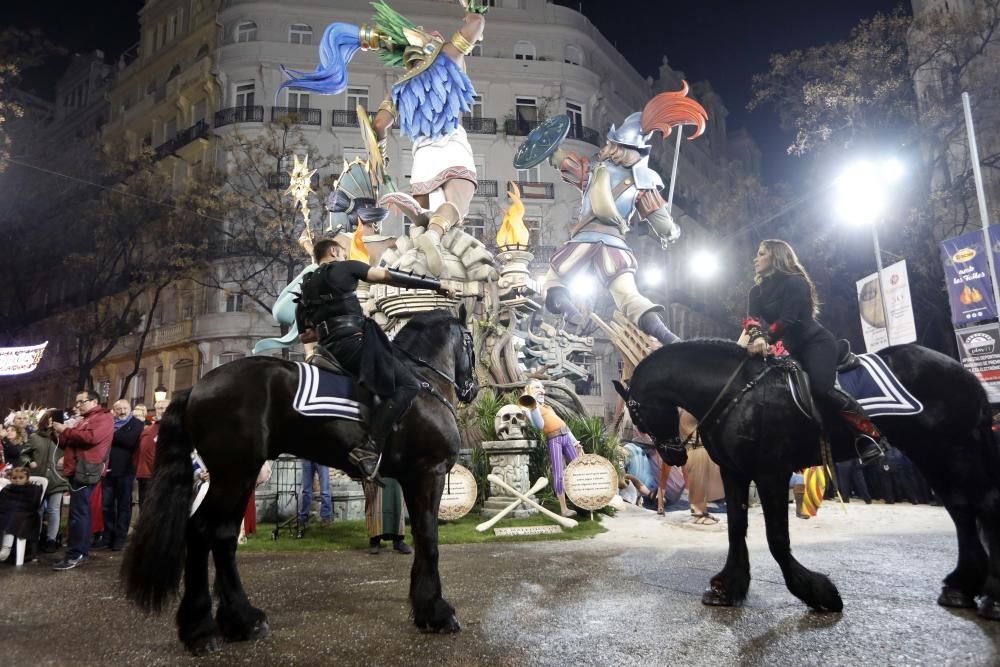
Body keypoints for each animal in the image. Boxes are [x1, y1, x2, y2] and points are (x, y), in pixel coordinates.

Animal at [119, 310, 478, 656]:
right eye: (470, 341)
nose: (472, 388)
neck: (422, 381)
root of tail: (196, 387)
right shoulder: (428, 474)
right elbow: (429, 539)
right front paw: (436, 612)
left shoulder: (414, 478)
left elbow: (423, 537)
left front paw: (426, 609)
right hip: (233, 473)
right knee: (201, 530)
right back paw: (202, 631)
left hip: (240, 474)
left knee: (222, 535)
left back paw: (242, 620)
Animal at [612, 342, 1000, 624]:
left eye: (638, 415)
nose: (674, 456)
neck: (735, 392)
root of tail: (962, 373)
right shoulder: (734, 472)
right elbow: (736, 529)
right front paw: (728, 588)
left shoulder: (771, 472)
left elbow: (776, 539)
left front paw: (818, 592)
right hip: (933, 454)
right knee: (961, 509)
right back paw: (961, 586)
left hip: (953, 450)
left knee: (982, 506)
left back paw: (991, 598)